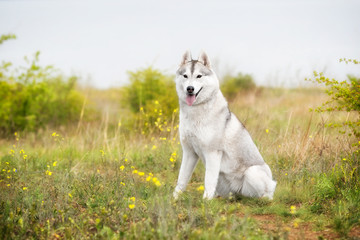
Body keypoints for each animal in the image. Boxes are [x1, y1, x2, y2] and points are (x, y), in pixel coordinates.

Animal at [173, 51, 278, 200]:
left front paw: (205, 202)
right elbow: (182, 179)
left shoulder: (212, 153)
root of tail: (238, 193)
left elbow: (208, 180)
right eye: (185, 76)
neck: (196, 111)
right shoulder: (189, 153)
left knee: (268, 192)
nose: (190, 89)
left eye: (199, 76)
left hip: (252, 173)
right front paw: (174, 199)